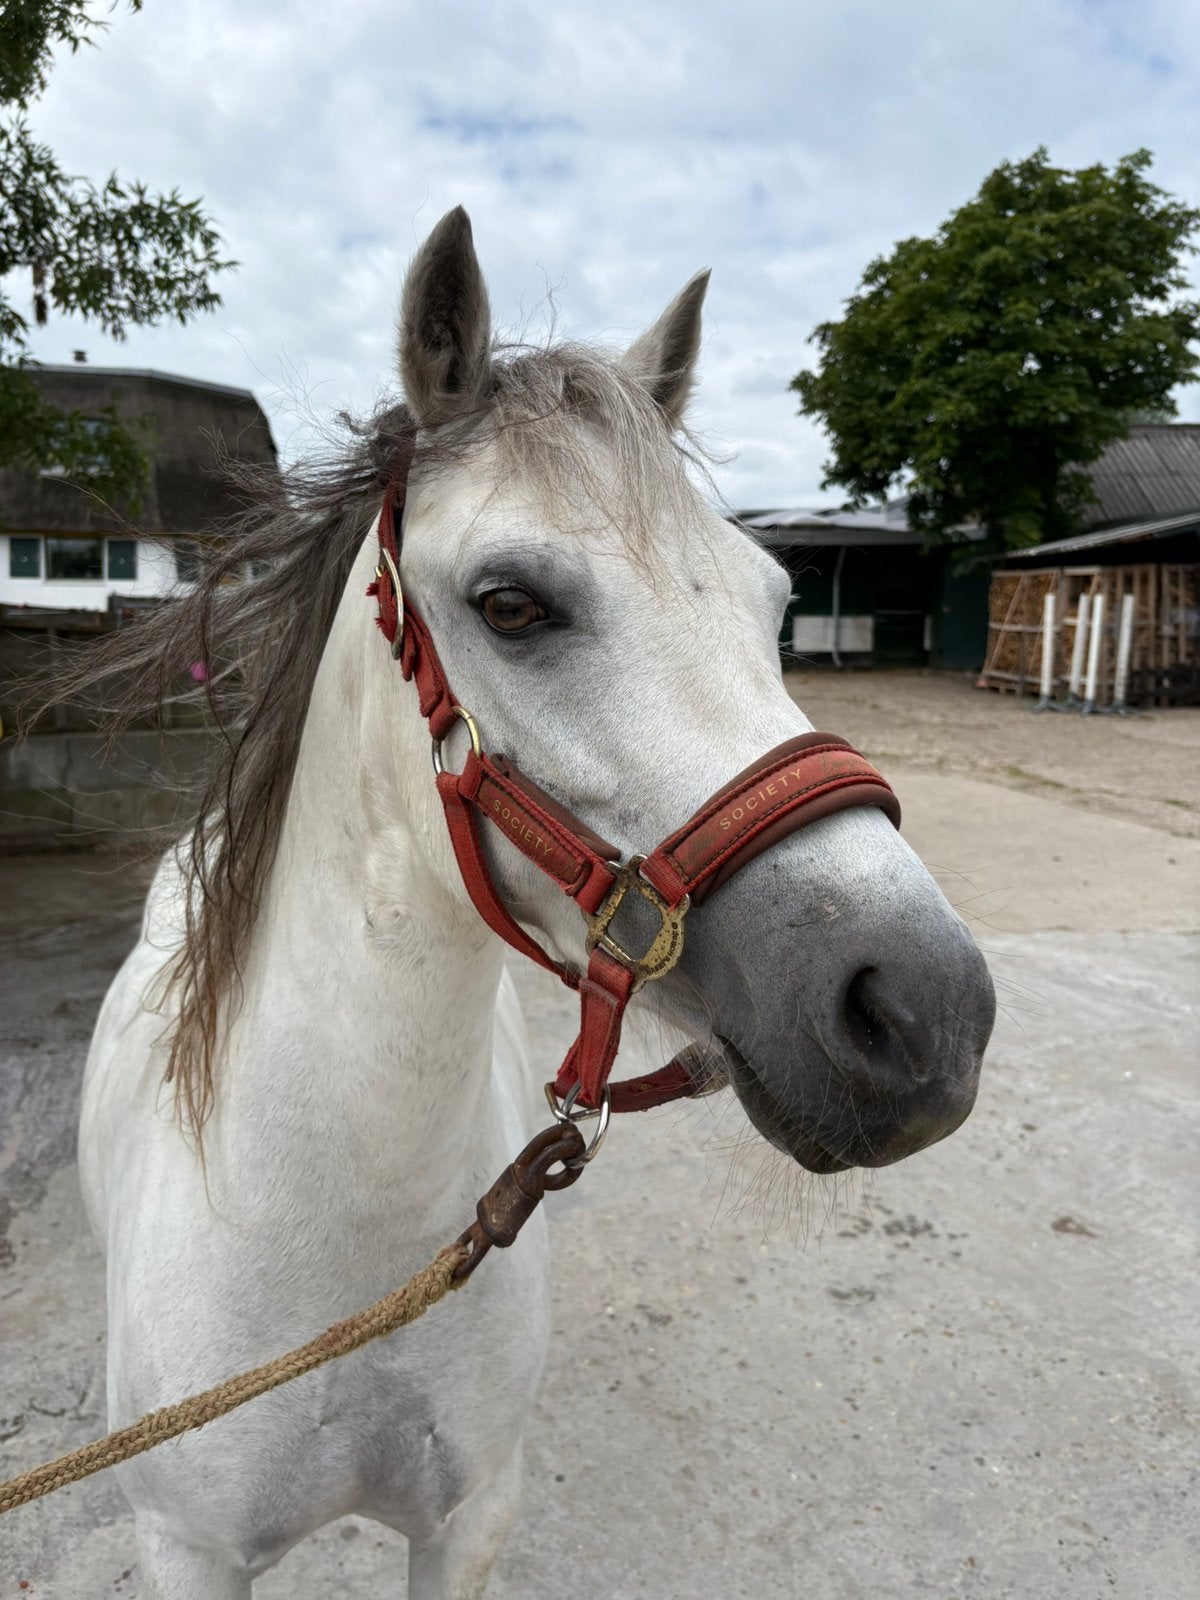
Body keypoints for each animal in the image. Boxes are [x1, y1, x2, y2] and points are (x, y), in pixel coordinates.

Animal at [76, 207, 995, 1596]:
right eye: (510, 603)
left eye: (780, 602)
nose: (926, 1013)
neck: (343, 1257)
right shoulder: (188, 1551)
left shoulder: (470, 1520)